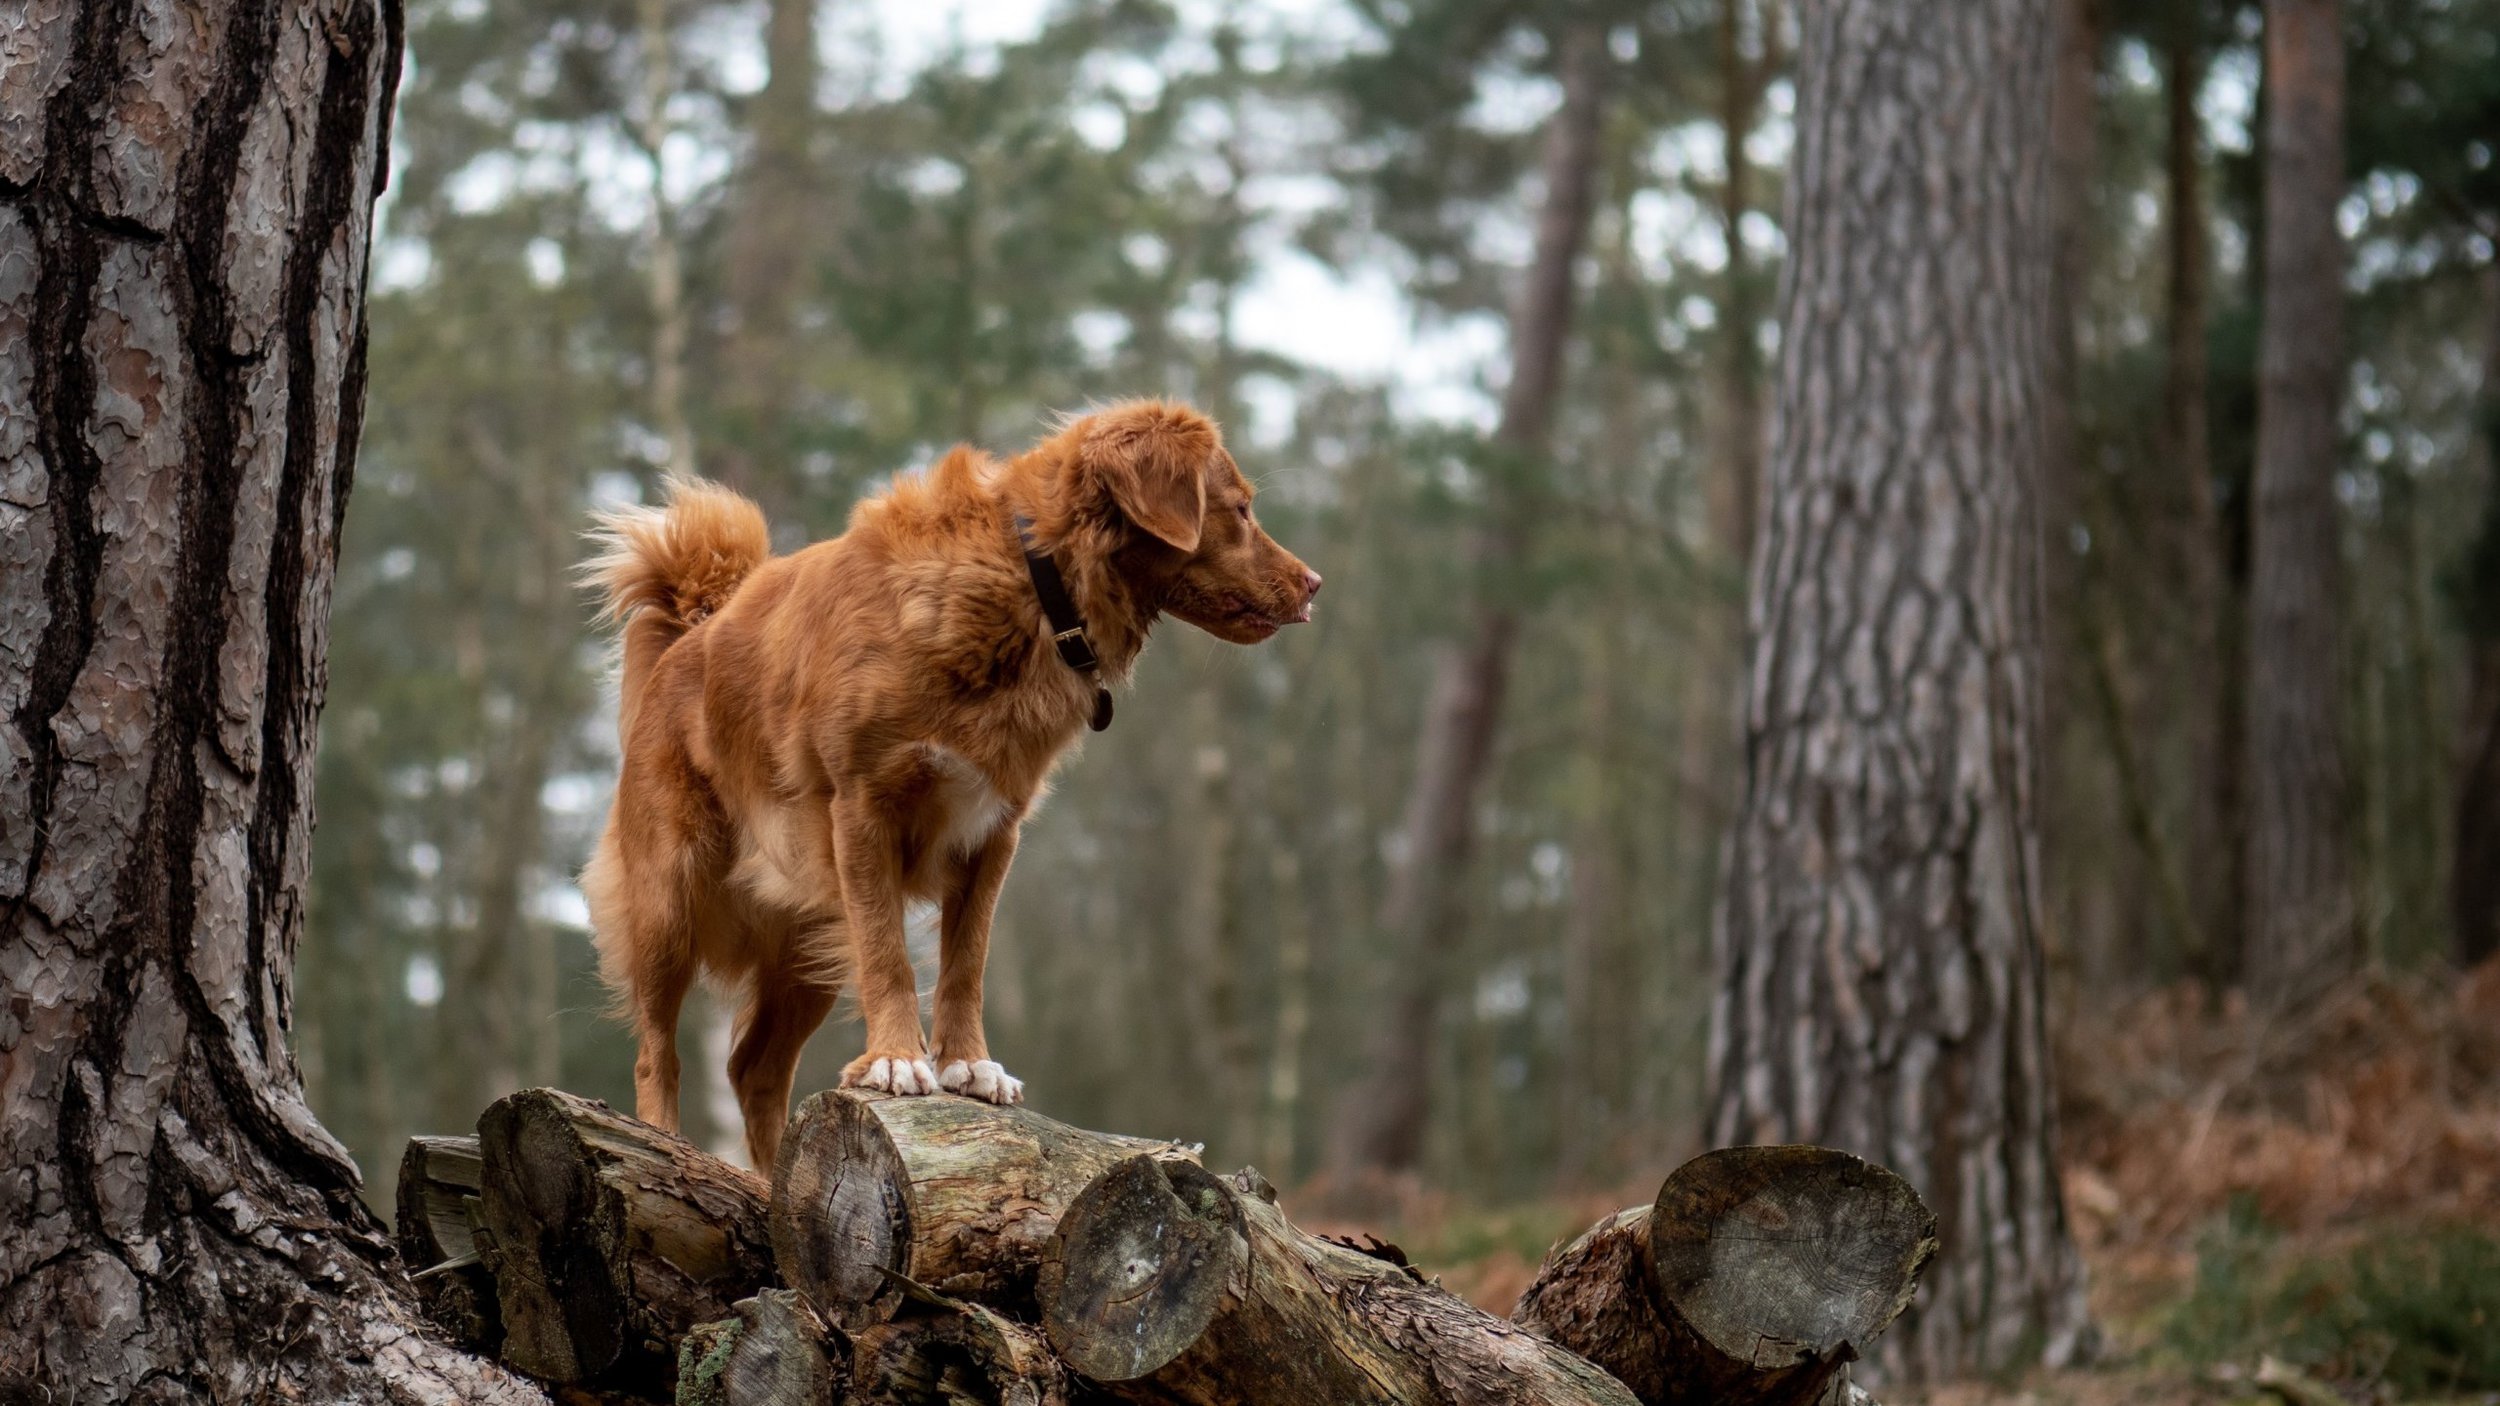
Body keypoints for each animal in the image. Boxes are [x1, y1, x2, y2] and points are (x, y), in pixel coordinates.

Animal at [582, 400, 1320, 1165]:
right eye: (1240, 509)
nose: (1315, 585)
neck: (1033, 585)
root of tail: (689, 636)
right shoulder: (863, 811)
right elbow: (890, 955)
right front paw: (897, 1059)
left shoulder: (992, 829)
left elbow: (966, 961)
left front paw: (968, 1064)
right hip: (671, 898)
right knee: (657, 1050)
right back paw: (659, 1141)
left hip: (807, 940)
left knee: (754, 1067)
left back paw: (768, 1177)